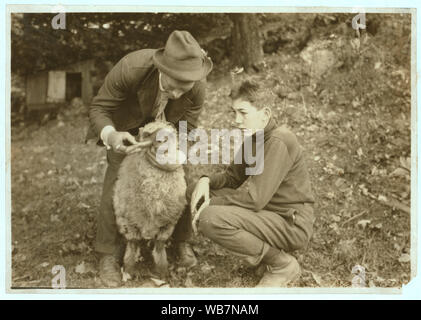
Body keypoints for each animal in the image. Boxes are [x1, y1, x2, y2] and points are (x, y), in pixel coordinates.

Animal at [114, 120, 188, 278]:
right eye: (147, 134)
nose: (161, 141)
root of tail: (147, 231)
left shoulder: (168, 223)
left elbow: (159, 246)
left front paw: (162, 271)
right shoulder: (129, 222)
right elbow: (133, 245)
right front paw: (129, 270)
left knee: (158, 245)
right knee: (134, 243)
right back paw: (129, 271)